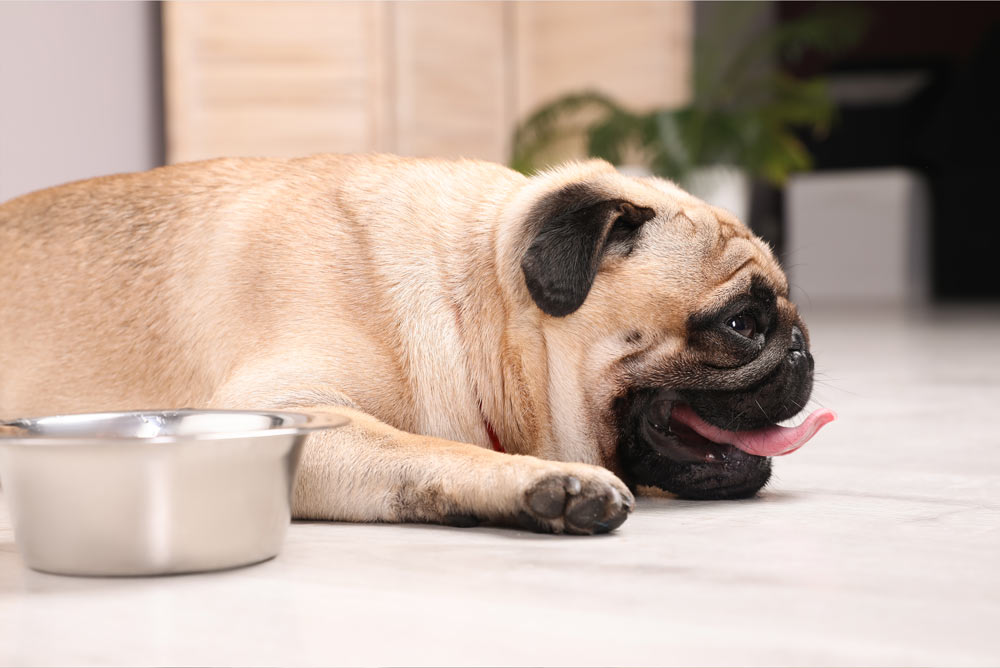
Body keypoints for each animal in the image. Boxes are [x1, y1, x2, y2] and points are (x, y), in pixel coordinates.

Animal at [0, 154, 832, 536]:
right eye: (741, 324)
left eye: (787, 317)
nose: (801, 349)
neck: (469, 303)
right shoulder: (289, 414)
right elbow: (431, 453)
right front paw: (547, 484)